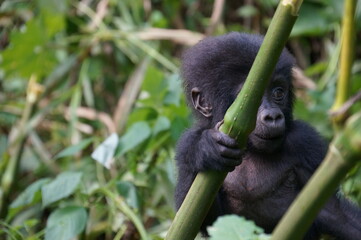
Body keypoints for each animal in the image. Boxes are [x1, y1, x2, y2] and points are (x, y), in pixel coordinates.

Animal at [176, 32, 360, 240]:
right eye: (248, 97)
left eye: (278, 92)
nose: (272, 116)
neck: (250, 148)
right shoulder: (186, 144)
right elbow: (198, 219)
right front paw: (205, 148)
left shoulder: (306, 142)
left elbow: (332, 211)